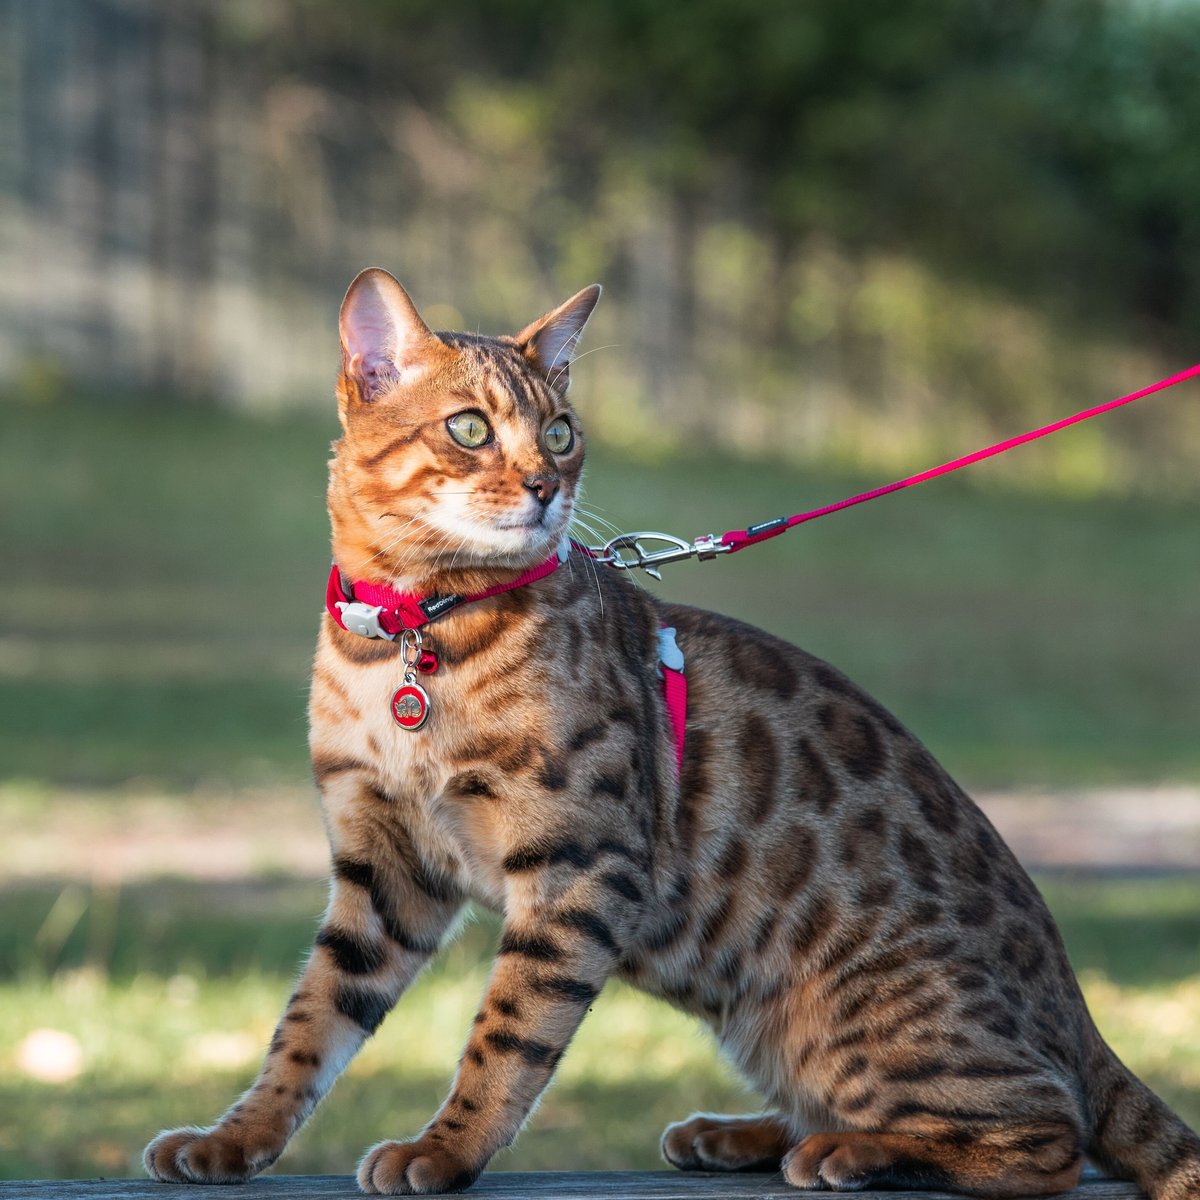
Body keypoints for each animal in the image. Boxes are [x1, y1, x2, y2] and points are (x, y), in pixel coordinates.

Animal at [145, 267, 1200, 1195]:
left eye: (560, 432)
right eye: (470, 428)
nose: (545, 486)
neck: (409, 633)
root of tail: (1080, 1014)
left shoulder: (580, 867)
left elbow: (507, 1038)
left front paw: (442, 1152)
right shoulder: (384, 869)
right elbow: (309, 1023)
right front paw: (231, 1139)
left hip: (861, 1015)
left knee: (1049, 1138)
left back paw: (848, 1152)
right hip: (774, 1025)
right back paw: (747, 1135)